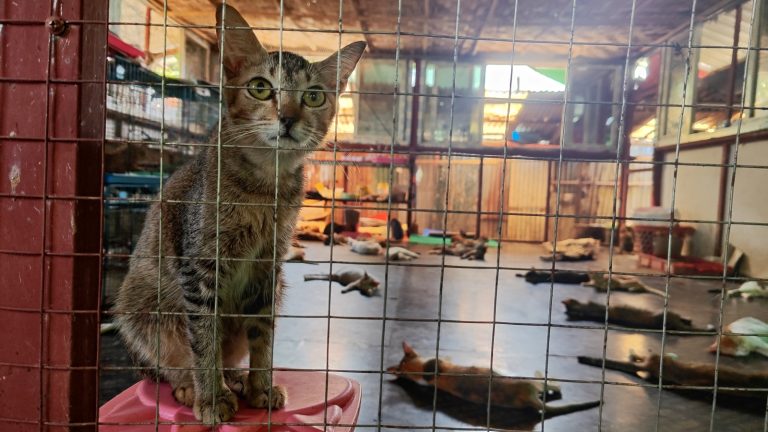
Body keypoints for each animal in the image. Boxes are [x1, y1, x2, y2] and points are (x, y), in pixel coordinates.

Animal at [115, 4, 366, 422]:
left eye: (314, 96)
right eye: (260, 87)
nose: (287, 118)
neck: (265, 186)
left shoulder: (268, 266)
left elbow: (263, 334)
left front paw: (260, 386)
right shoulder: (200, 267)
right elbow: (204, 337)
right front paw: (211, 397)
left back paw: (234, 377)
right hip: (139, 309)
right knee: (165, 365)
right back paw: (191, 385)